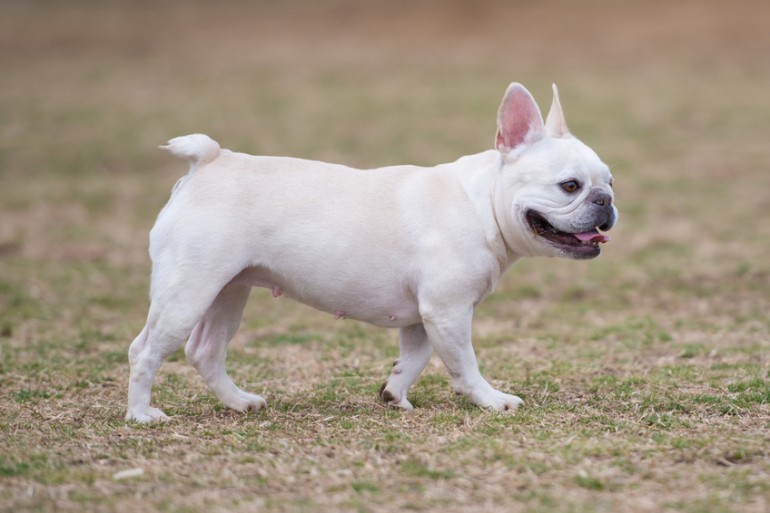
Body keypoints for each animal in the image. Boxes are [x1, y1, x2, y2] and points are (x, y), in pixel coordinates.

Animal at [127, 83, 616, 420]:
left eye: (609, 181)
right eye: (570, 185)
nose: (605, 200)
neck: (482, 205)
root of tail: (211, 160)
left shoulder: (425, 317)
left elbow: (416, 357)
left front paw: (394, 393)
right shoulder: (448, 311)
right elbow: (464, 364)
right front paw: (491, 399)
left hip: (227, 292)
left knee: (206, 351)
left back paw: (239, 402)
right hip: (187, 292)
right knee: (144, 351)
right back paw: (141, 415)